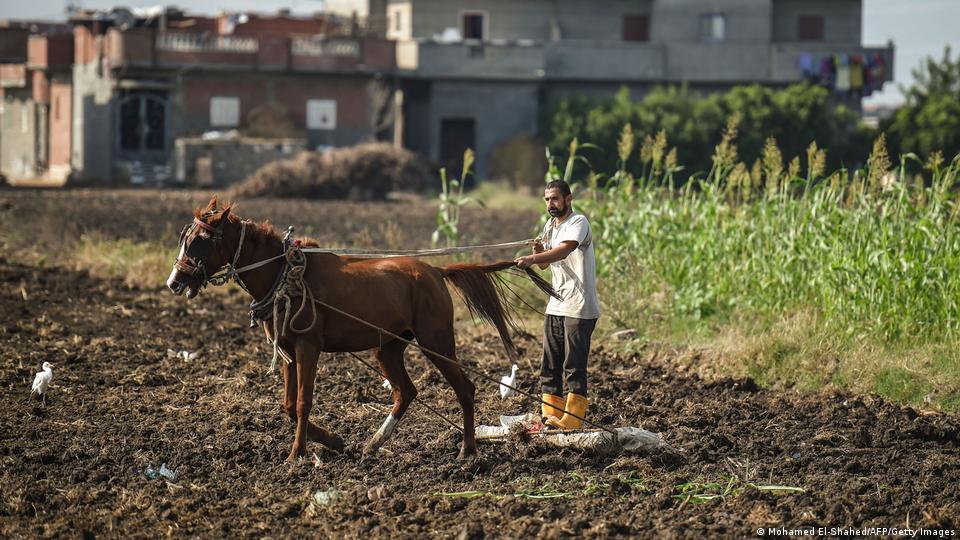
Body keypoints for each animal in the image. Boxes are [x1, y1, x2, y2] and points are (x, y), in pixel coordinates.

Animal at [166, 196, 556, 462]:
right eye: (186, 236)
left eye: (202, 239)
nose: (174, 281)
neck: (286, 276)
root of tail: (435, 271)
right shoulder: (288, 351)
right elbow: (289, 406)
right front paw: (333, 441)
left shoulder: (308, 347)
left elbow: (304, 402)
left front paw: (296, 455)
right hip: (388, 347)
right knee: (406, 391)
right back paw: (375, 442)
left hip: (436, 341)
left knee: (465, 388)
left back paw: (467, 451)